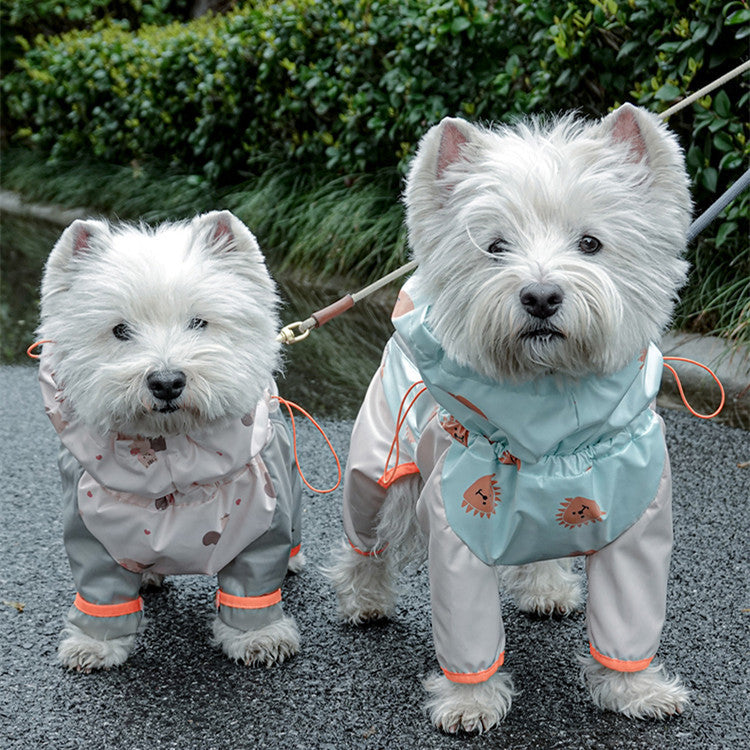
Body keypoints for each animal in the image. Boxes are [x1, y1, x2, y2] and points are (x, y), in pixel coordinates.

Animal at [36, 209, 306, 672]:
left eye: (199, 321)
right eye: (119, 330)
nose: (166, 382)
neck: (170, 459)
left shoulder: (260, 516)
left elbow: (252, 586)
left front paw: (259, 638)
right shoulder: (90, 526)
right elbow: (100, 591)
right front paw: (94, 645)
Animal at [328, 106, 692, 736]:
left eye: (591, 242)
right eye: (495, 246)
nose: (541, 296)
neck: (552, 428)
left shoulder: (636, 522)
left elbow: (630, 618)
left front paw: (636, 690)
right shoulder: (458, 525)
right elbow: (467, 630)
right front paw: (470, 703)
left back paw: (545, 589)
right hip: (377, 465)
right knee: (366, 535)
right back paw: (366, 601)